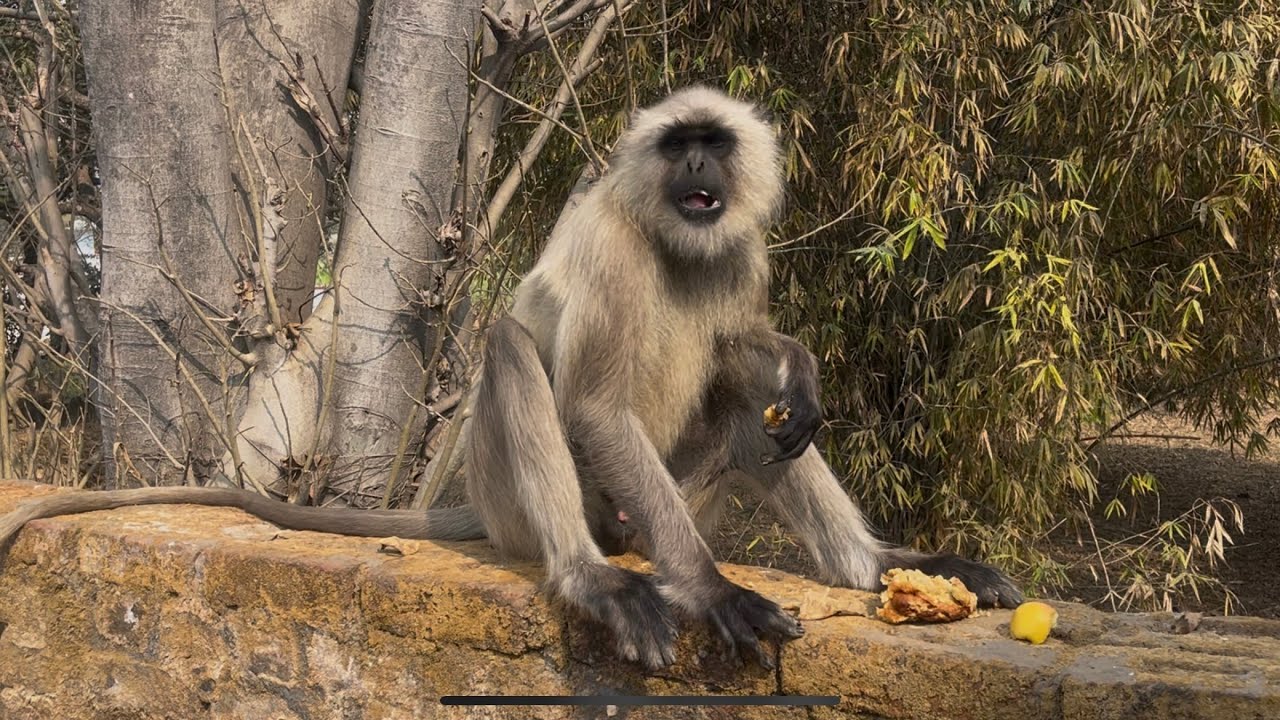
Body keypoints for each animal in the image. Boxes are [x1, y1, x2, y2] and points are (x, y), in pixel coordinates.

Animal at [0, 86, 1022, 672]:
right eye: (676, 144)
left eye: (714, 144)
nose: (696, 163)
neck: (671, 237)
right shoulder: (609, 239)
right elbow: (596, 404)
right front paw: (715, 591)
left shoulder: (739, 249)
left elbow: (744, 357)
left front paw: (799, 368)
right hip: (556, 502)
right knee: (508, 346)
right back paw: (593, 581)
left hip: (682, 488)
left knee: (752, 414)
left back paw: (881, 568)